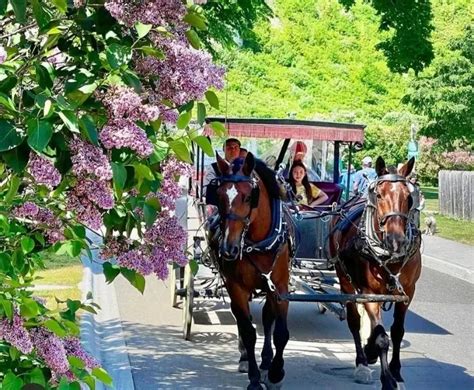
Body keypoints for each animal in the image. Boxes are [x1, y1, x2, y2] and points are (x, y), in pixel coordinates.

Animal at [212, 152, 292, 390]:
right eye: (219, 196)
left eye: (249, 197)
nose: (229, 248)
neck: (258, 242)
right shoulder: (236, 287)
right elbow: (248, 332)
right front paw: (255, 379)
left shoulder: (280, 287)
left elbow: (280, 333)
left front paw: (275, 373)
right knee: (242, 319)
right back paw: (246, 359)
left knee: (267, 318)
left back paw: (266, 362)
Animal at [330, 157, 422, 388]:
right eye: (379, 195)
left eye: (409, 197)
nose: (396, 240)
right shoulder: (369, 293)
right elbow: (382, 337)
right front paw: (386, 378)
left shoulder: (407, 292)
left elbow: (397, 332)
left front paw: (396, 370)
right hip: (345, 281)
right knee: (354, 320)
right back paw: (362, 362)